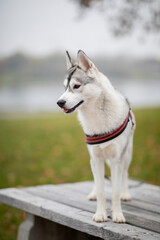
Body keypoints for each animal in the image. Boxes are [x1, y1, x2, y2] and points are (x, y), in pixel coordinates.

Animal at [57, 50, 135, 223]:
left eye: (76, 86)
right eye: (65, 87)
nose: (59, 102)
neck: (98, 116)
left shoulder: (116, 159)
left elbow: (115, 191)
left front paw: (117, 214)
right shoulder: (96, 157)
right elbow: (100, 189)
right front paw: (100, 213)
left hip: (126, 155)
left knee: (124, 175)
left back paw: (126, 193)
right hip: (94, 159)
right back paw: (93, 193)